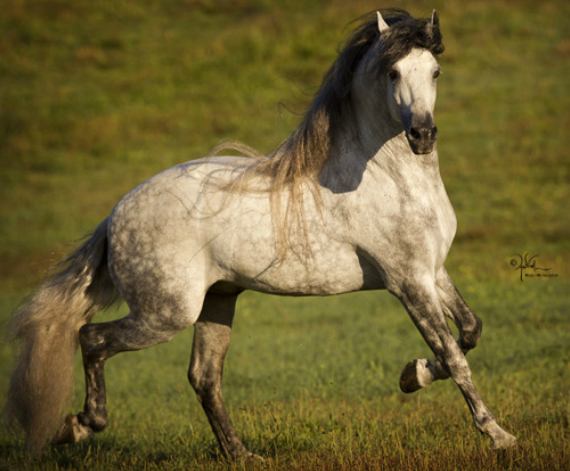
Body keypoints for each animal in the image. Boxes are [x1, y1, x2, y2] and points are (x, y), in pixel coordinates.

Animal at [6, 9, 516, 460]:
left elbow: (469, 331)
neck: (390, 181)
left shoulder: (432, 272)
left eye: (435, 71)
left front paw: (412, 375)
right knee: (92, 338)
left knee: (204, 378)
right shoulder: (407, 282)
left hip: (217, 302)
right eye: (392, 72)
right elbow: (455, 356)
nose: (423, 135)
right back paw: (76, 427)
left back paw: (242, 455)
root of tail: (115, 215)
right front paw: (499, 437)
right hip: (165, 314)